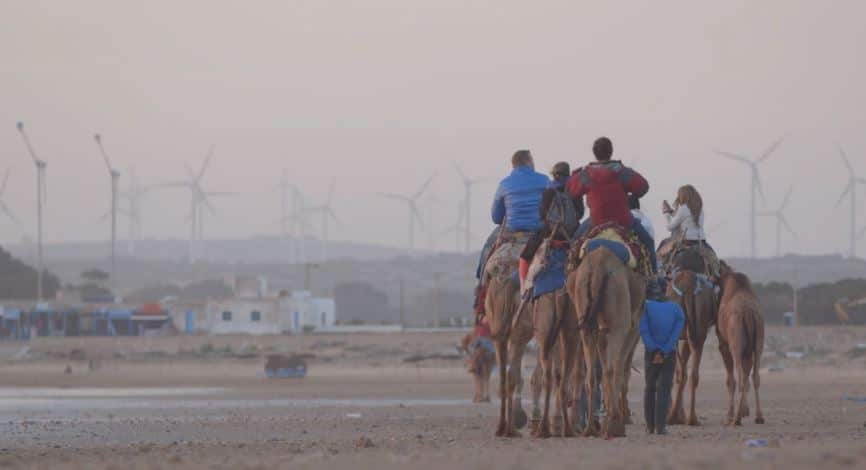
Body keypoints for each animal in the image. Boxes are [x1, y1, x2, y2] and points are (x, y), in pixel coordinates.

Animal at [568, 248, 640, 438]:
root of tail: (599, 266)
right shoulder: (632, 330)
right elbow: (622, 371)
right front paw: (621, 417)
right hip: (618, 321)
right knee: (611, 370)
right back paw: (613, 425)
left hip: (585, 316)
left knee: (590, 374)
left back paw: (589, 428)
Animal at [716, 262, 764, 428]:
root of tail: (749, 313)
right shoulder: (748, 351)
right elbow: (748, 374)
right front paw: (744, 411)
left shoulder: (724, 344)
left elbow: (731, 380)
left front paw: (730, 416)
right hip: (759, 343)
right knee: (755, 377)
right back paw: (759, 417)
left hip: (735, 345)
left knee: (740, 378)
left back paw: (735, 419)